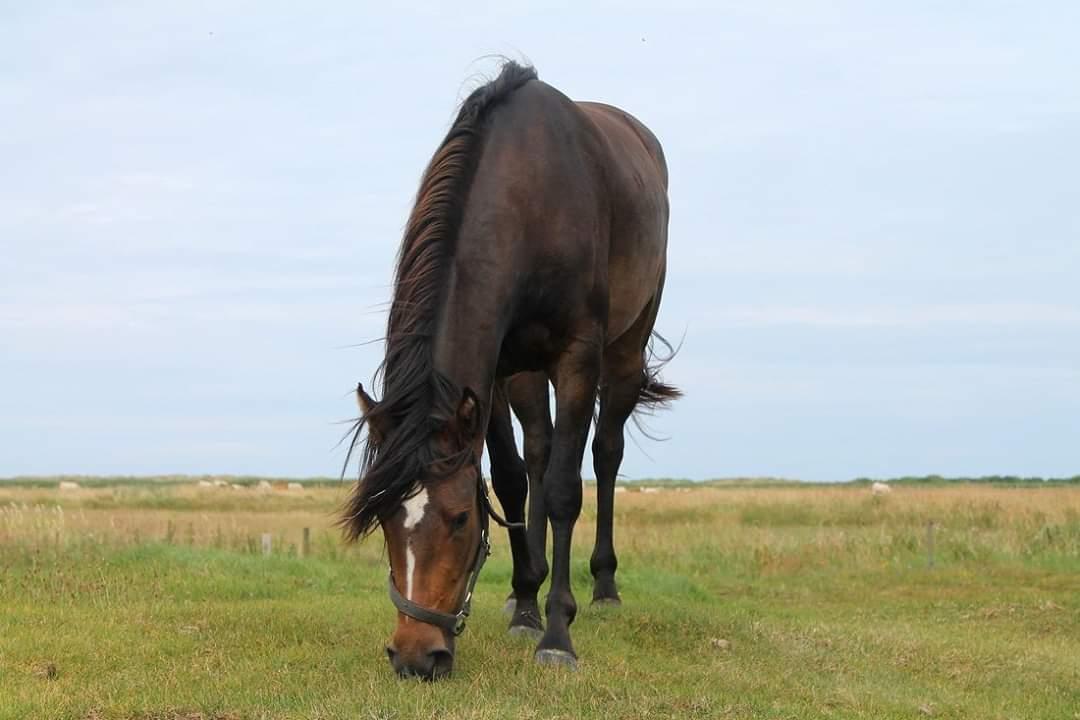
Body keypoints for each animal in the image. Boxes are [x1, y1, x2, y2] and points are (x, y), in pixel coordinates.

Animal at [343, 63, 673, 682]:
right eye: (387, 522)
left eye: (459, 520)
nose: (414, 657)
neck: (527, 196)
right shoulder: (494, 374)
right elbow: (513, 479)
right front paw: (524, 605)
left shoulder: (577, 355)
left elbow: (566, 489)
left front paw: (557, 634)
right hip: (526, 376)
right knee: (540, 448)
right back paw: (528, 591)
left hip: (624, 350)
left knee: (605, 453)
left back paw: (604, 586)